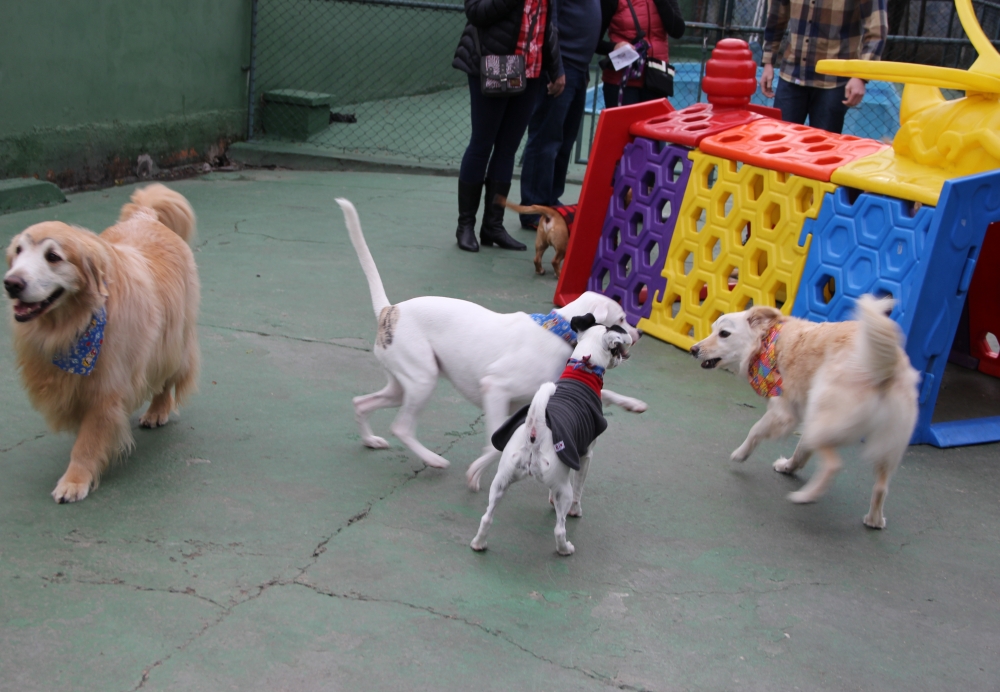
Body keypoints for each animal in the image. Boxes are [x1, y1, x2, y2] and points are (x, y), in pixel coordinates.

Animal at [2, 184, 202, 502]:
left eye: (53, 256)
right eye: (18, 251)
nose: (11, 283)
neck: (73, 325)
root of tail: (145, 215)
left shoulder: (106, 389)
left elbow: (88, 441)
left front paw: (74, 480)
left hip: (172, 342)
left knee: (165, 378)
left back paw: (157, 410)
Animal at [336, 197, 648, 484]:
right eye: (621, 319)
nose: (639, 333)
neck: (558, 332)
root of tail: (389, 309)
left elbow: (608, 395)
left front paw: (632, 403)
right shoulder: (495, 389)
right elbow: (496, 444)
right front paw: (476, 471)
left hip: (401, 387)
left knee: (361, 403)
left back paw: (370, 440)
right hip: (423, 380)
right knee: (401, 426)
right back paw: (433, 459)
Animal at [470, 314, 632, 556]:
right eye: (616, 349)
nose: (622, 356)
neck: (583, 368)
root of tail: (535, 432)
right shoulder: (585, 455)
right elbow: (579, 488)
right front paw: (576, 510)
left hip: (501, 481)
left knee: (486, 517)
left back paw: (479, 543)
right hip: (562, 490)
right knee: (559, 529)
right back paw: (565, 549)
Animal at [692, 294, 916, 528]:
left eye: (724, 333)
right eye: (713, 330)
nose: (693, 349)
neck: (767, 343)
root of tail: (885, 368)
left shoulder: (782, 413)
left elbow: (755, 431)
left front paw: (740, 454)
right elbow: (801, 451)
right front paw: (788, 467)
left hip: (826, 422)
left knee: (833, 465)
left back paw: (804, 496)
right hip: (883, 442)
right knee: (881, 486)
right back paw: (874, 520)